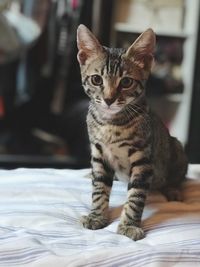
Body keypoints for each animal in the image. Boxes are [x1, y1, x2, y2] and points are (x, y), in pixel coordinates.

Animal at [76, 24, 188, 241]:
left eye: (126, 82)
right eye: (96, 79)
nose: (109, 99)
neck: (111, 123)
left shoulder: (143, 158)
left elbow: (136, 195)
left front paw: (129, 225)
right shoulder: (99, 154)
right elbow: (99, 187)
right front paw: (97, 216)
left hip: (176, 148)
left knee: (178, 177)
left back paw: (173, 190)